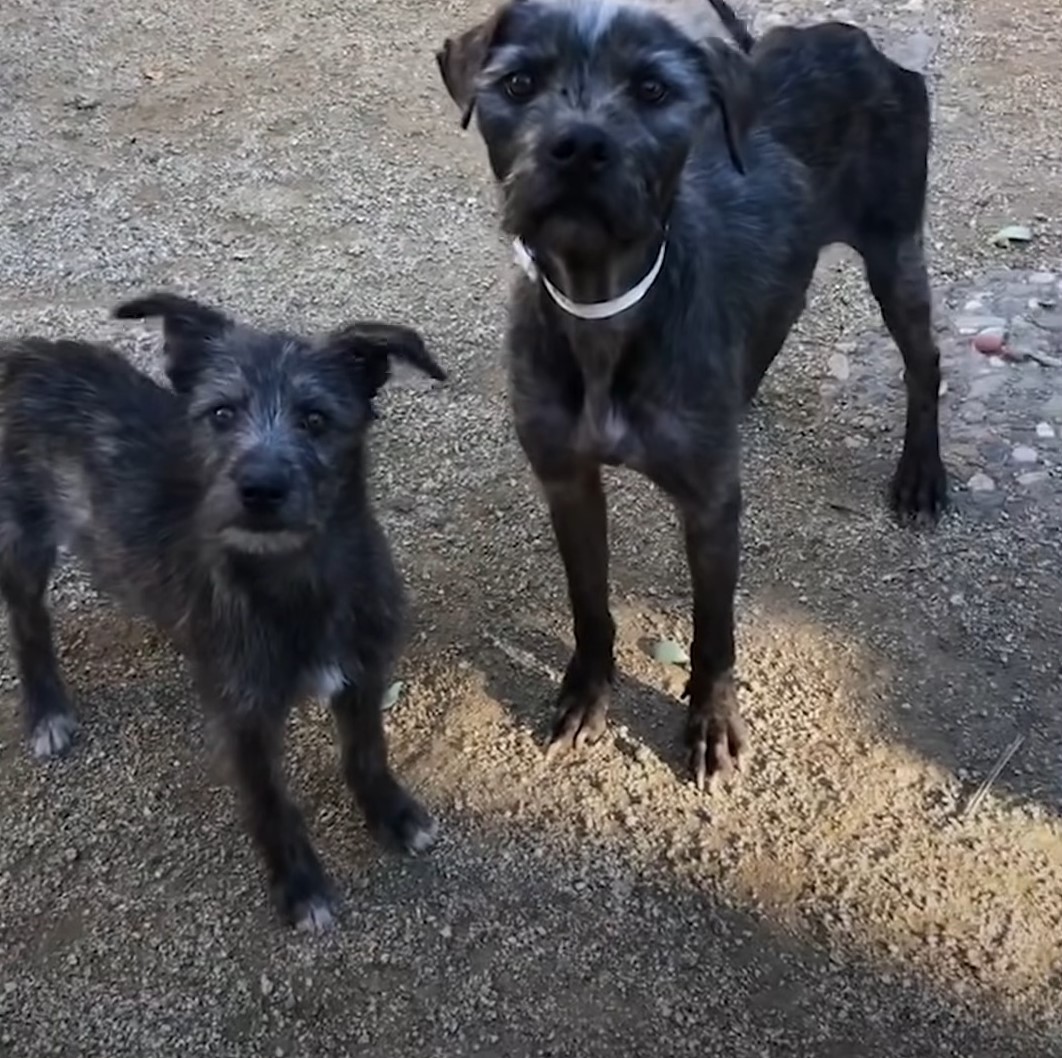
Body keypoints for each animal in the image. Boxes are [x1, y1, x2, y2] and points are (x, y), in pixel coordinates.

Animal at [0, 295, 443, 926]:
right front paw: (299, 884)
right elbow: (269, 801)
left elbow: (367, 752)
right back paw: (46, 711)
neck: (294, 576)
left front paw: (392, 813)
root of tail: (26, 353)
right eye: (221, 414)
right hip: (22, 537)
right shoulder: (244, 717)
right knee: (29, 623)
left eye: (315, 419)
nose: (260, 488)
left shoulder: (363, 673)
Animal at [437, 0, 947, 786]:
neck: (603, 308)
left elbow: (715, 630)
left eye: (652, 89)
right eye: (518, 82)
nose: (578, 146)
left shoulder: (711, 508)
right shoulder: (568, 482)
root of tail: (848, 37)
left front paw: (711, 723)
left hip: (896, 254)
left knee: (926, 364)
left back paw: (922, 476)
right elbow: (589, 604)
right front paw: (587, 693)